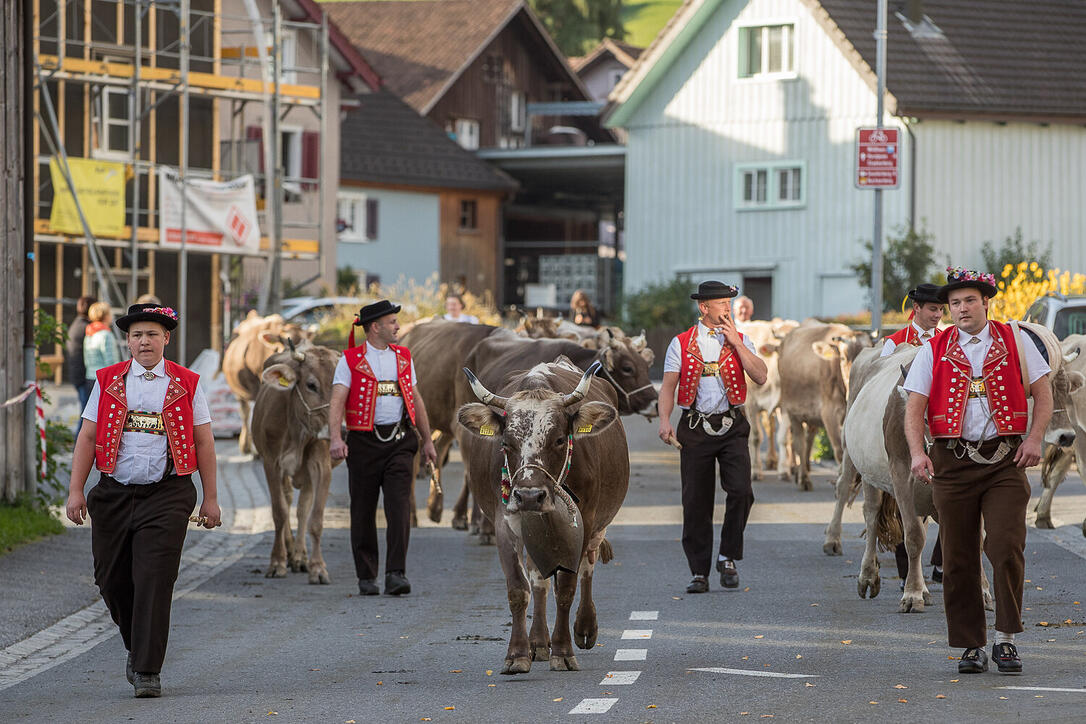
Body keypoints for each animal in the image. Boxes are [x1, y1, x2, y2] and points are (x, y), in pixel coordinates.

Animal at [456, 360, 629, 677]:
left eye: (559, 439)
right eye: (506, 443)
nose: (529, 495)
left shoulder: (583, 522)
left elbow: (567, 588)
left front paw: (563, 652)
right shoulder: (505, 523)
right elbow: (519, 588)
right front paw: (517, 654)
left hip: (597, 527)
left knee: (587, 567)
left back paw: (584, 628)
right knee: (538, 579)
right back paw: (537, 642)